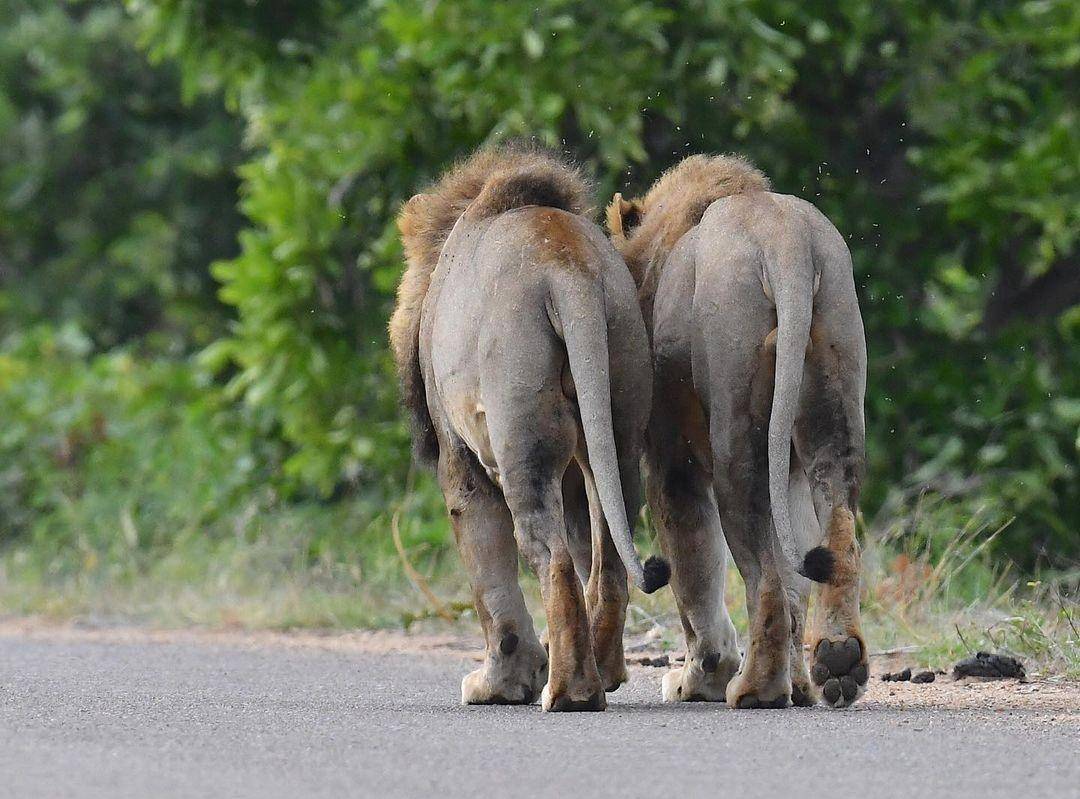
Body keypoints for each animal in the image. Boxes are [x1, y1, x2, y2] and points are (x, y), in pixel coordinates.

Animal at [393, 143, 669, 712]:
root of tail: (568, 272)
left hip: (522, 433)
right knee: (608, 556)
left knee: (552, 558)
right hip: (618, 416)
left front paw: (498, 684)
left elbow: (488, 575)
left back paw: (568, 690)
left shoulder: (459, 458)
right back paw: (603, 673)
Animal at [609, 153, 868, 708]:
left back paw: (755, 688)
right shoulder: (788, 471)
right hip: (833, 399)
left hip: (735, 426)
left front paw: (697, 679)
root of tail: (784, 238)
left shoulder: (671, 460)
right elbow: (794, 585)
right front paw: (801, 685)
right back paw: (837, 662)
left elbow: (694, 567)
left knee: (764, 574)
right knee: (835, 536)